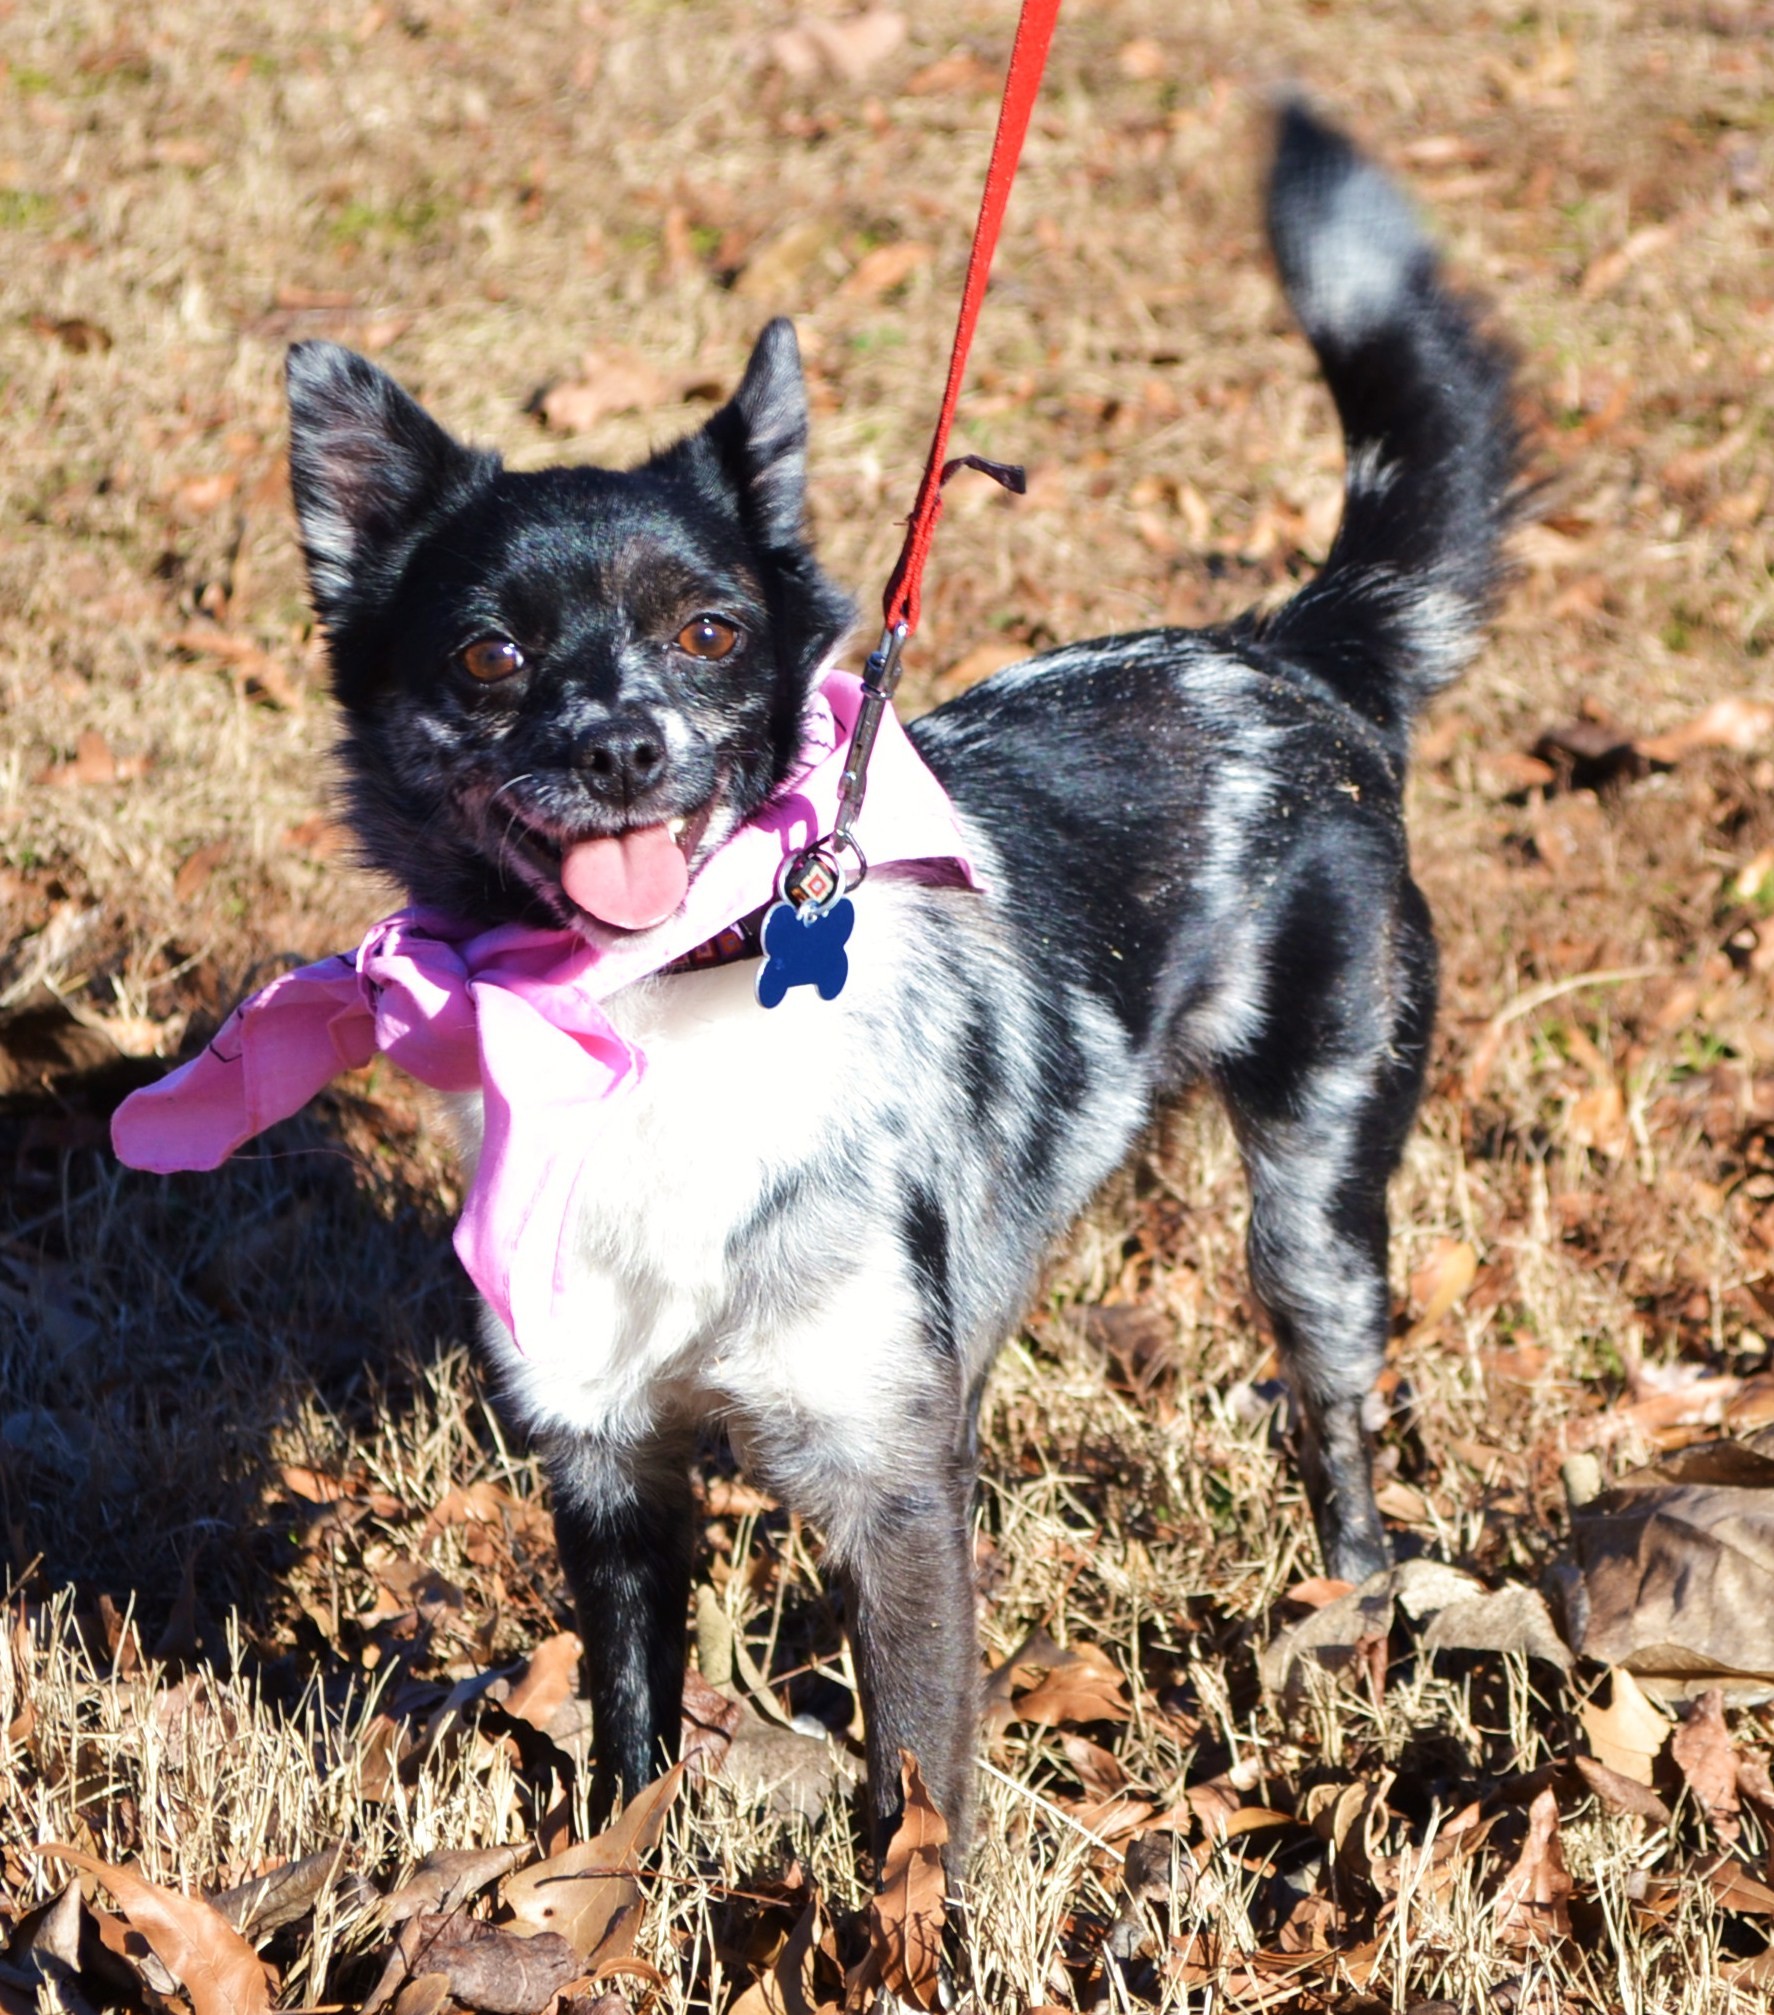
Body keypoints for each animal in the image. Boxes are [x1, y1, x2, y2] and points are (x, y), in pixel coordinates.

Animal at [284, 106, 1515, 1853]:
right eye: (486, 655)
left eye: (710, 631)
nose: (620, 747)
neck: (649, 1019)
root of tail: (1285, 648)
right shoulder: (611, 1466)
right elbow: (632, 1744)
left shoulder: (893, 1487)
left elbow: (915, 1796)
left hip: (1316, 1199)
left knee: (1333, 1417)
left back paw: (1346, 1609)